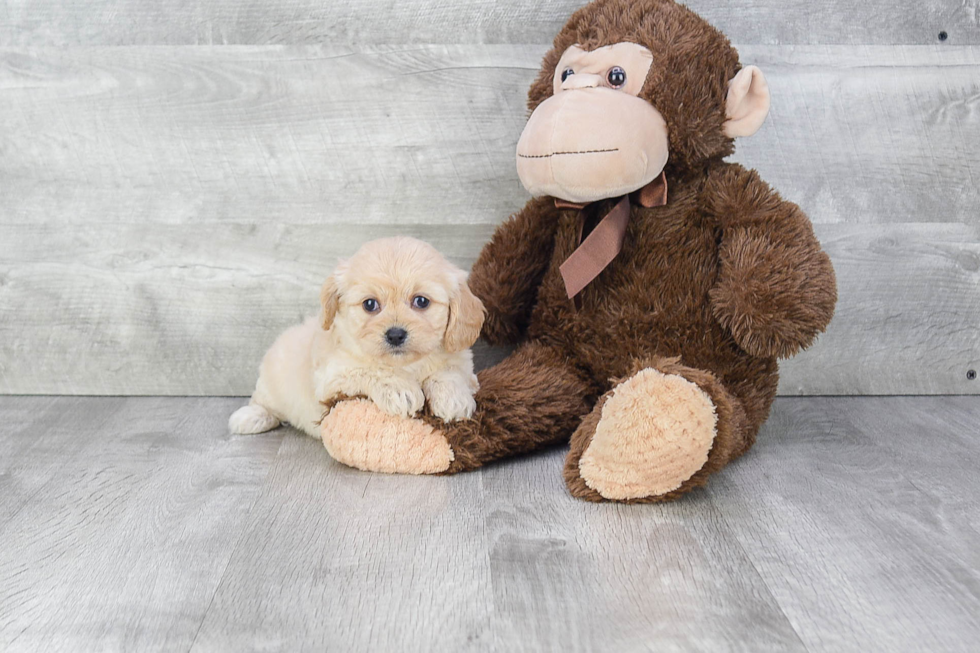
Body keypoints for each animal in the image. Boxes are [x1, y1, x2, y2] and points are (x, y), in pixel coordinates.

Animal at [231, 236, 490, 438]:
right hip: (270, 384)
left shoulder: (464, 366)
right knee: (262, 402)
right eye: (370, 304)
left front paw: (454, 399)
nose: (395, 334)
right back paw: (250, 417)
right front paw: (400, 390)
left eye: (421, 301)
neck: (406, 365)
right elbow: (369, 369)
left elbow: (449, 372)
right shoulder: (331, 377)